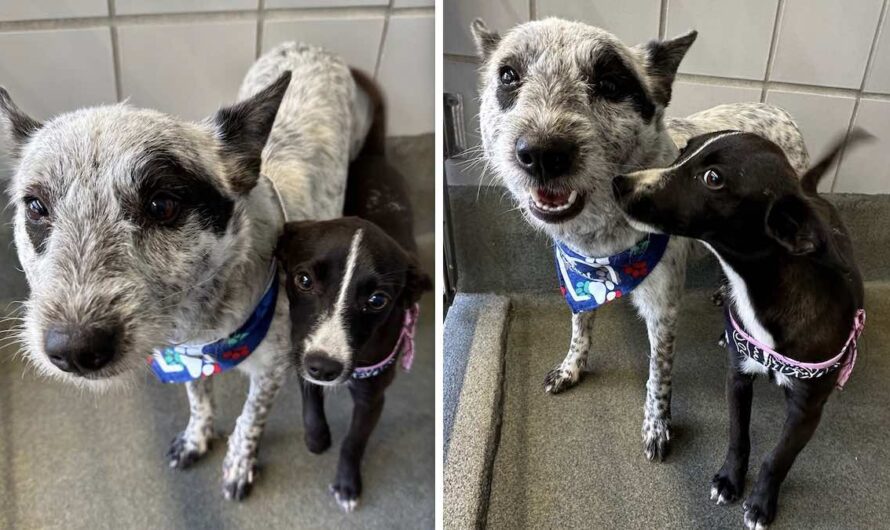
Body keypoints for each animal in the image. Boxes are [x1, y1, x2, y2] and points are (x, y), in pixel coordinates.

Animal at [0, 42, 372, 500]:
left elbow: (250, 419)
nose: (73, 349)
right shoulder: (188, 356)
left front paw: (238, 464)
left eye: (162, 205)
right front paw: (198, 436)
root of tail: (309, 45)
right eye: (35, 206)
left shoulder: (271, 371)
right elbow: (198, 397)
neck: (208, 324)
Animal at [278, 72, 430, 510]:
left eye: (377, 301)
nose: (325, 367)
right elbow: (310, 401)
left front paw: (346, 484)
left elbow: (354, 442)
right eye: (303, 280)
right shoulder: (301, 347)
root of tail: (373, 155)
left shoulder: (372, 397)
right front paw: (316, 438)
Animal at [612, 129, 864, 528]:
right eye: (683, 149)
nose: (619, 183)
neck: (761, 293)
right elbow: (738, 437)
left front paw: (760, 503)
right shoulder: (737, 379)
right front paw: (729, 481)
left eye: (713, 178)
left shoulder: (806, 410)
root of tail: (809, 193)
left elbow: (778, 458)